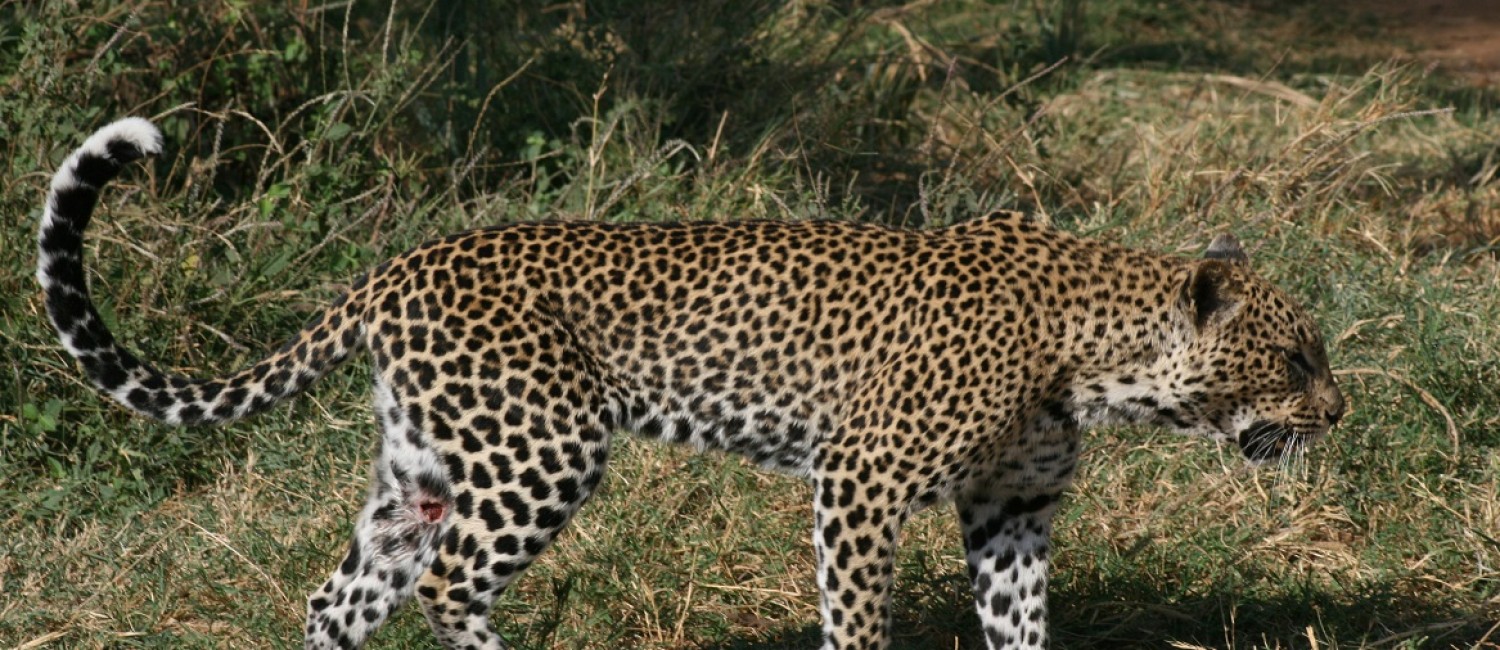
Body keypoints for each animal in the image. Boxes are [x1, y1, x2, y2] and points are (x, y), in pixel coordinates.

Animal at [39, 118, 1344, 650]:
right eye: (1294, 358)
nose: (1339, 412)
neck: (1093, 352)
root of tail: (397, 264)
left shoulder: (1011, 507)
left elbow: (1020, 625)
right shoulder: (860, 479)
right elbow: (856, 619)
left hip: (420, 471)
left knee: (337, 597)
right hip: (542, 448)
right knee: (452, 583)